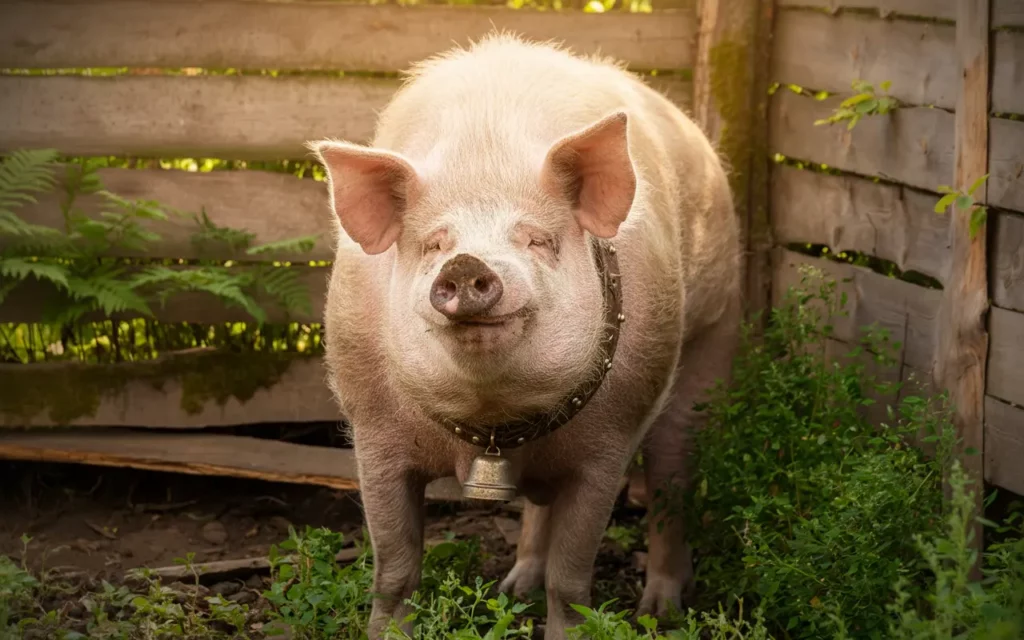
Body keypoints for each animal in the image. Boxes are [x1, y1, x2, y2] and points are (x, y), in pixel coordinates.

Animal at [309, 32, 742, 639]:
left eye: (538, 240)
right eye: (435, 244)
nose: (467, 263)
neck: (496, 424)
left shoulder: (610, 446)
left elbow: (573, 580)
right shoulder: (372, 431)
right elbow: (393, 570)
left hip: (713, 335)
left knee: (670, 478)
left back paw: (659, 611)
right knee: (540, 508)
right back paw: (514, 588)